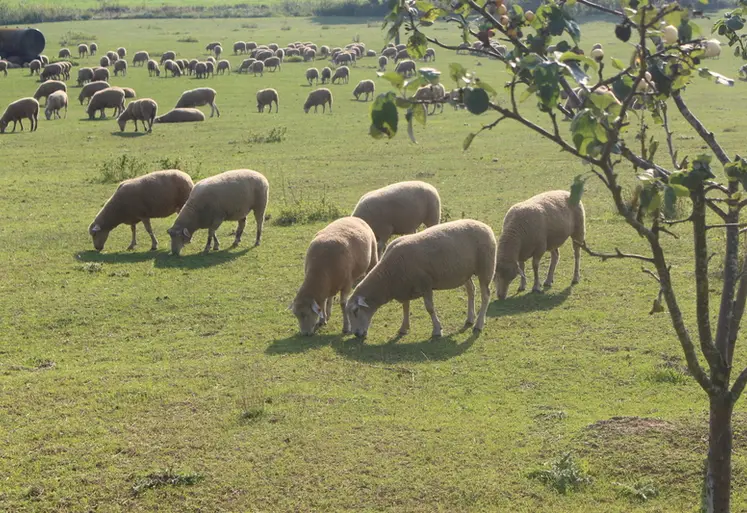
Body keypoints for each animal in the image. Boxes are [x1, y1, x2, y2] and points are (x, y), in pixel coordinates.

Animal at [344, 218, 496, 338]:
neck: (388, 277)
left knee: (485, 295)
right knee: (471, 290)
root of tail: (485, 226)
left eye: (356, 311)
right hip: (464, 272)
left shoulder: (425, 284)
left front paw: (437, 330)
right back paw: (470, 319)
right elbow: (405, 307)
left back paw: (479, 324)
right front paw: (403, 328)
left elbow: (429, 308)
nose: (356, 334)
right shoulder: (404, 286)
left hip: (486, 268)